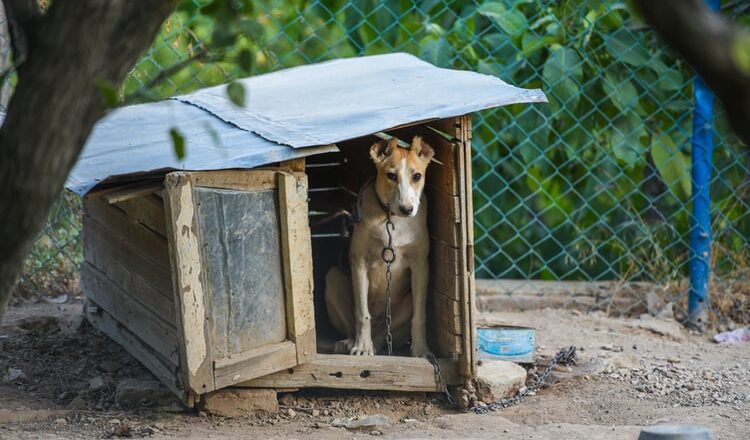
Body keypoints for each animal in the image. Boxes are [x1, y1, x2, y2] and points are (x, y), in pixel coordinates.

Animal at [324, 135, 434, 358]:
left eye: (417, 176)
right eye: (391, 175)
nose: (407, 209)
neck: (392, 219)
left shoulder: (420, 265)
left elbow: (419, 316)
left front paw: (421, 350)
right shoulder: (359, 262)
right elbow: (361, 313)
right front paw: (361, 347)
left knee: (384, 335)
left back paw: (375, 343)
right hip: (332, 277)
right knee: (357, 325)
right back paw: (352, 343)